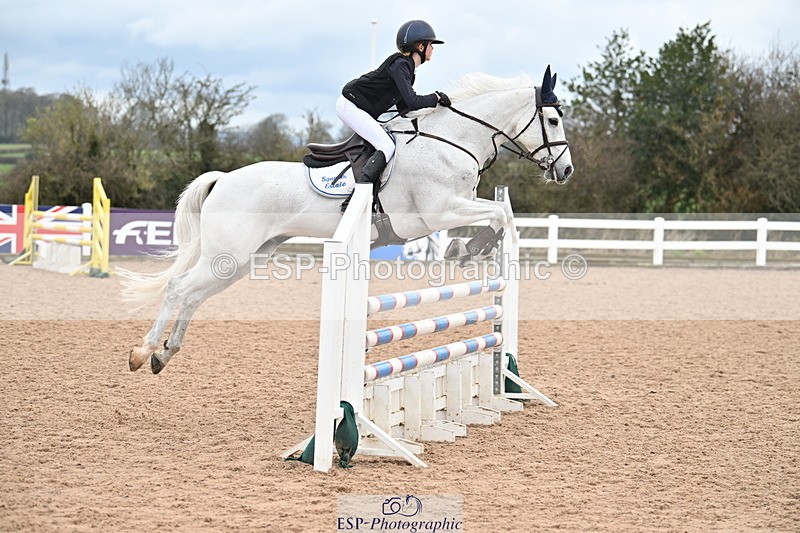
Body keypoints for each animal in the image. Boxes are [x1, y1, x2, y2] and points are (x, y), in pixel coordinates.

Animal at [121, 65, 574, 374]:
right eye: (552, 120)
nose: (566, 171)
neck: (450, 142)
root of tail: (222, 179)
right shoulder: (438, 210)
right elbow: (498, 214)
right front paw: (467, 248)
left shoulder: (455, 204)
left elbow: (499, 214)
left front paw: (467, 248)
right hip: (229, 254)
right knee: (180, 288)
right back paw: (143, 352)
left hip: (242, 260)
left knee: (194, 296)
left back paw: (165, 353)